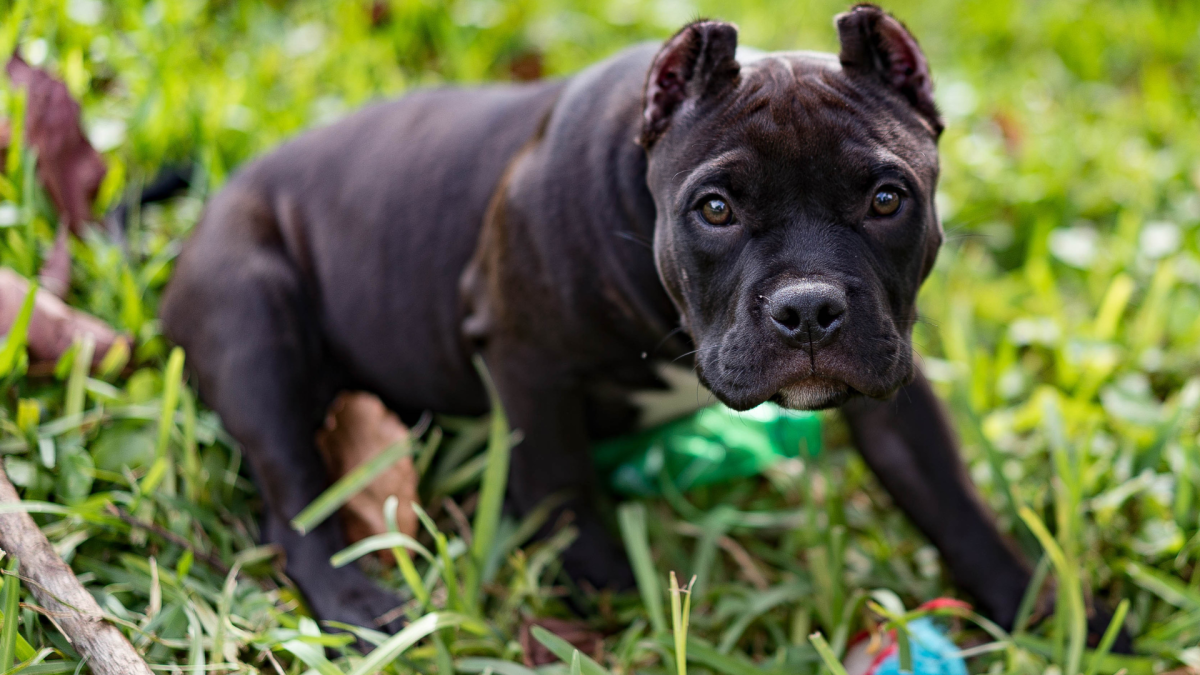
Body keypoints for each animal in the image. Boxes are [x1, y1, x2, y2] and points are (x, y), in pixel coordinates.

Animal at [159, 5, 1123, 643]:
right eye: (716, 209)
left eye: (889, 199)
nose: (810, 307)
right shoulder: (527, 359)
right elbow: (562, 487)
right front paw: (614, 602)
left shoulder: (895, 371)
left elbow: (950, 496)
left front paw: (1042, 609)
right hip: (255, 328)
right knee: (292, 493)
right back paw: (357, 604)